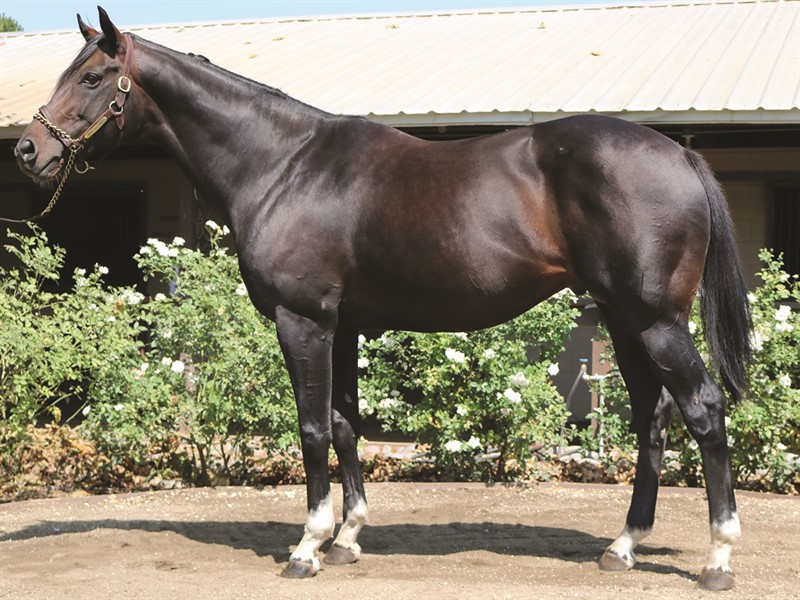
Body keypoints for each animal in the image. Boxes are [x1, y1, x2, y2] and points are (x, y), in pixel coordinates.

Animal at [14, 8, 752, 591]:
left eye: (90, 78)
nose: (27, 148)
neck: (282, 165)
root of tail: (681, 156)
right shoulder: (341, 328)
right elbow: (345, 426)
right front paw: (347, 539)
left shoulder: (303, 322)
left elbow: (312, 429)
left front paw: (307, 546)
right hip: (625, 323)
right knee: (654, 419)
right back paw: (622, 547)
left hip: (655, 322)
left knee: (704, 410)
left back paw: (718, 559)